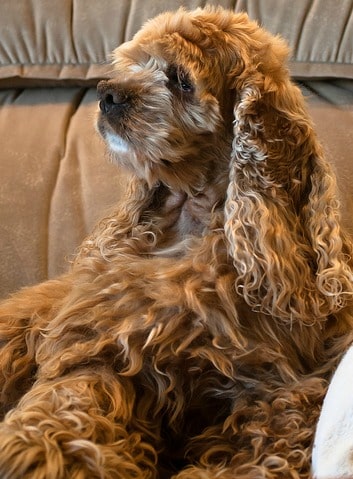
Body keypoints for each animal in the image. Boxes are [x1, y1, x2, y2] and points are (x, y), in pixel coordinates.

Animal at [0, 7, 352, 479]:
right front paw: (36, 452)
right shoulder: (103, 345)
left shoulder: (279, 387)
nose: (106, 92)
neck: (192, 223)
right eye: (136, 64)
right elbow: (72, 401)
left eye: (181, 80)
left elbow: (258, 451)